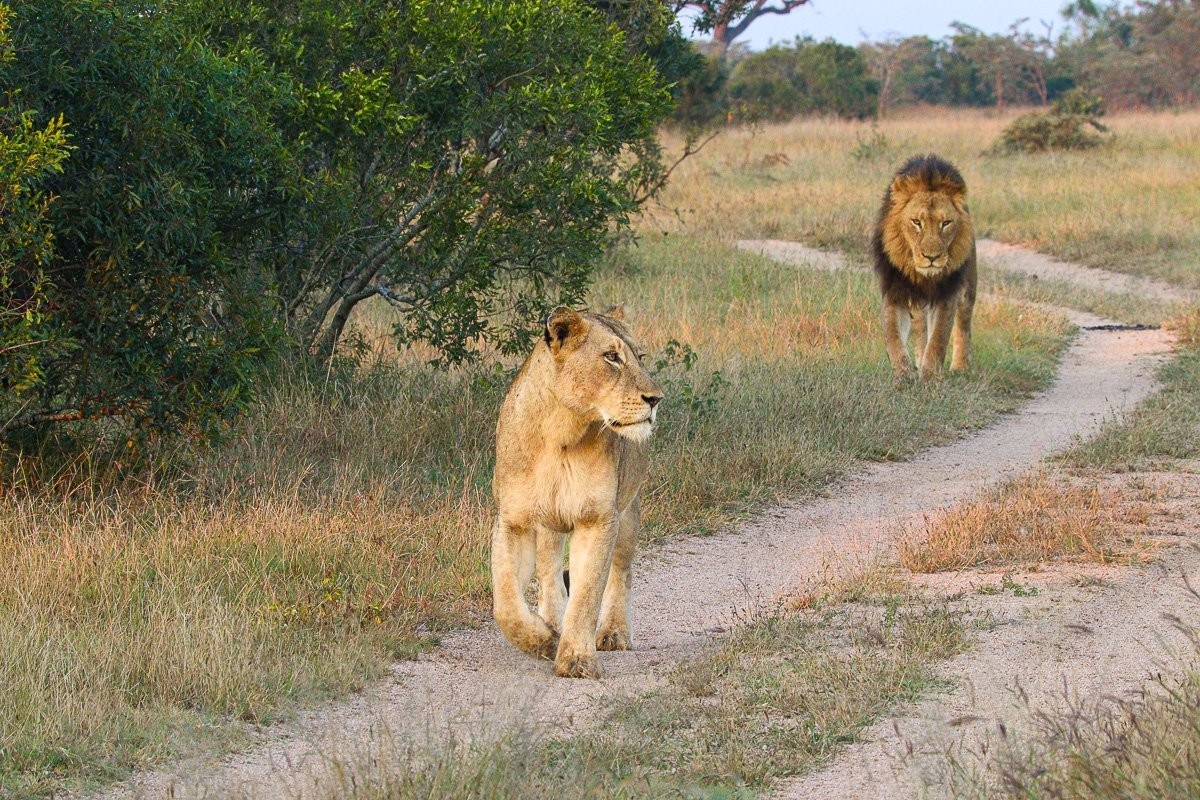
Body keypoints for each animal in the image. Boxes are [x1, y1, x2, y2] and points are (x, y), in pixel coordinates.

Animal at [491, 305, 663, 679]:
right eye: (612, 357)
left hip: (629, 510)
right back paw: (552, 622)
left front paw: (576, 659)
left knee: (621, 572)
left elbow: (587, 594)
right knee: (550, 574)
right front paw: (543, 639)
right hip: (548, 526)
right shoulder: (513, 521)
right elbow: (506, 603)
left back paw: (613, 632)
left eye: (639, 357)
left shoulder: (599, 519)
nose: (656, 399)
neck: (561, 433)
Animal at [872, 154, 978, 382]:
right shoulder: (895, 291)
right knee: (920, 327)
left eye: (946, 223)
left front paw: (929, 376)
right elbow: (893, 336)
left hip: (969, 285)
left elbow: (938, 338)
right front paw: (903, 374)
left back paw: (960, 366)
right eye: (916, 222)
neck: (923, 276)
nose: (932, 257)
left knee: (964, 321)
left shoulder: (947, 294)